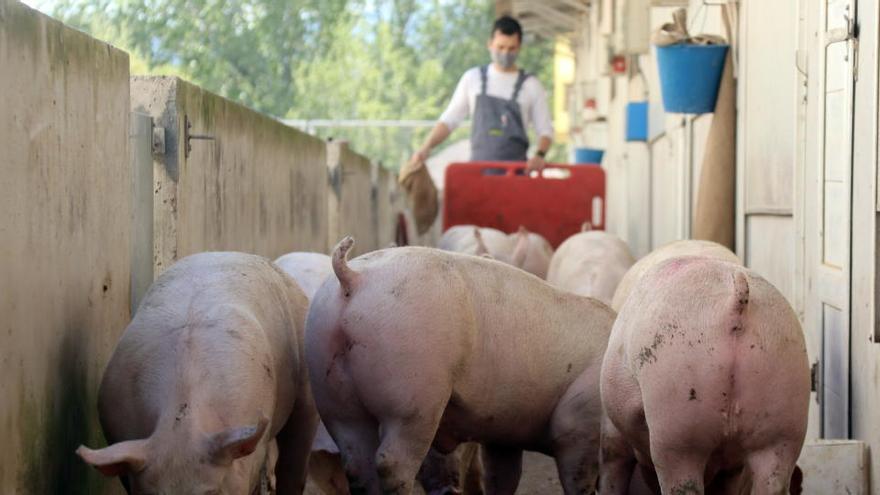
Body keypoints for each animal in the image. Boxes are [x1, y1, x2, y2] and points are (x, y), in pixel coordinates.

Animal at [306, 238, 616, 494]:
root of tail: (352, 277)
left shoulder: (504, 433)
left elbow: (502, 477)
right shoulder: (579, 427)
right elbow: (578, 480)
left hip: (332, 394)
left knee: (357, 464)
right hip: (413, 395)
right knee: (391, 463)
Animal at [600, 258, 812, 494]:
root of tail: (735, 300)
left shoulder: (611, 430)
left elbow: (612, 463)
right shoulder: (733, 466)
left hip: (677, 417)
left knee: (682, 482)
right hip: (783, 414)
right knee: (774, 480)